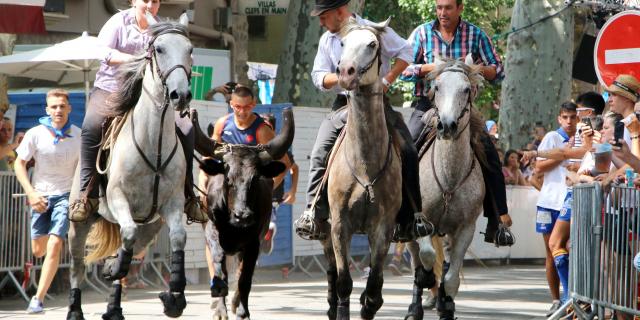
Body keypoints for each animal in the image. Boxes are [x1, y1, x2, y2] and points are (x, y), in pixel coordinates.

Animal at [67, 16, 195, 320]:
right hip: (79, 225)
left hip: (150, 226)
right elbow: (127, 234)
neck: (154, 142)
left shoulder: (172, 204)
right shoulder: (117, 197)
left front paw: (175, 297)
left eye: (190, 49)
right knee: (77, 267)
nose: (181, 95)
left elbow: (178, 238)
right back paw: (76, 309)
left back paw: (114, 307)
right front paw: (112, 267)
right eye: (158, 49)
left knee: (132, 248)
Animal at [191, 109, 294, 318]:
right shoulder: (213, 234)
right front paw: (220, 309)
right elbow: (219, 267)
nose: (243, 216)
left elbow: (244, 278)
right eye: (228, 179)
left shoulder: (253, 243)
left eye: (254, 179)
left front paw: (242, 311)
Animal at [322, 20, 402, 320]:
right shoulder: (339, 225)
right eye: (343, 43)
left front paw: (368, 304)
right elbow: (344, 282)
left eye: (372, 44)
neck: (364, 165)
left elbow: (374, 289)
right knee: (332, 273)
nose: (346, 72)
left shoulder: (383, 227)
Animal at [404, 57, 484, 320]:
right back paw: (415, 307)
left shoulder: (465, 228)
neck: (449, 179)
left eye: (466, 89)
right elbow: (427, 258)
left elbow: (451, 279)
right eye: (436, 87)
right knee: (417, 261)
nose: (446, 125)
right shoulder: (422, 221)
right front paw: (427, 279)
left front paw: (446, 305)